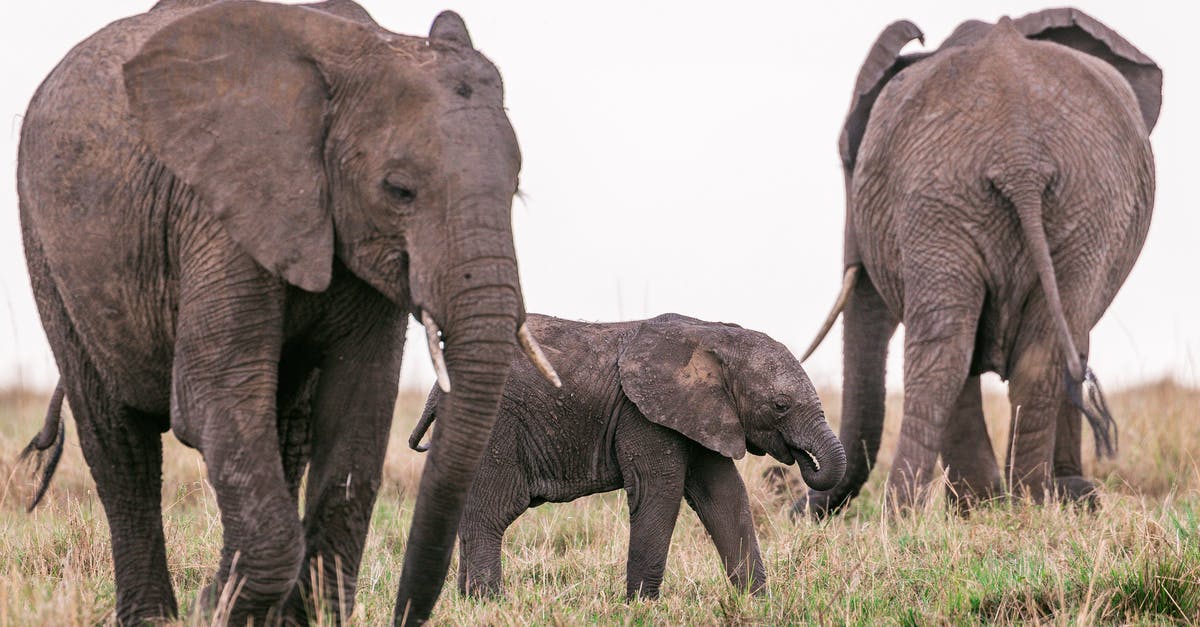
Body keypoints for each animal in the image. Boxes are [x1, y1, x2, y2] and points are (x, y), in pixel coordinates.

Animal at [15, 2, 556, 619]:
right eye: (399, 190)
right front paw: (213, 609)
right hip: (49, 249)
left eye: (516, 189)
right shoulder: (218, 207)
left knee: (282, 434)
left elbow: (358, 408)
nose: (405, 609)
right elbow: (211, 396)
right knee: (118, 440)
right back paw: (154, 616)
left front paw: (289, 616)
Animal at [408, 312, 849, 595]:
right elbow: (661, 492)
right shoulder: (643, 415)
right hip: (497, 425)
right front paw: (641, 606)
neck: (714, 335)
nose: (802, 460)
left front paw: (757, 603)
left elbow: (725, 495)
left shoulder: (699, 413)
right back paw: (488, 601)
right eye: (780, 405)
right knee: (491, 511)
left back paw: (469, 600)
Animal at [801, 9, 1156, 514]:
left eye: (849, 165)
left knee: (952, 351)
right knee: (1014, 350)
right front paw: (1036, 498)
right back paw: (1023, 499)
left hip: (967, 196)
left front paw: (1006, 501)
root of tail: (1019, 154)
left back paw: (917, 510)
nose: (798, 503)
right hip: (1054, 201)